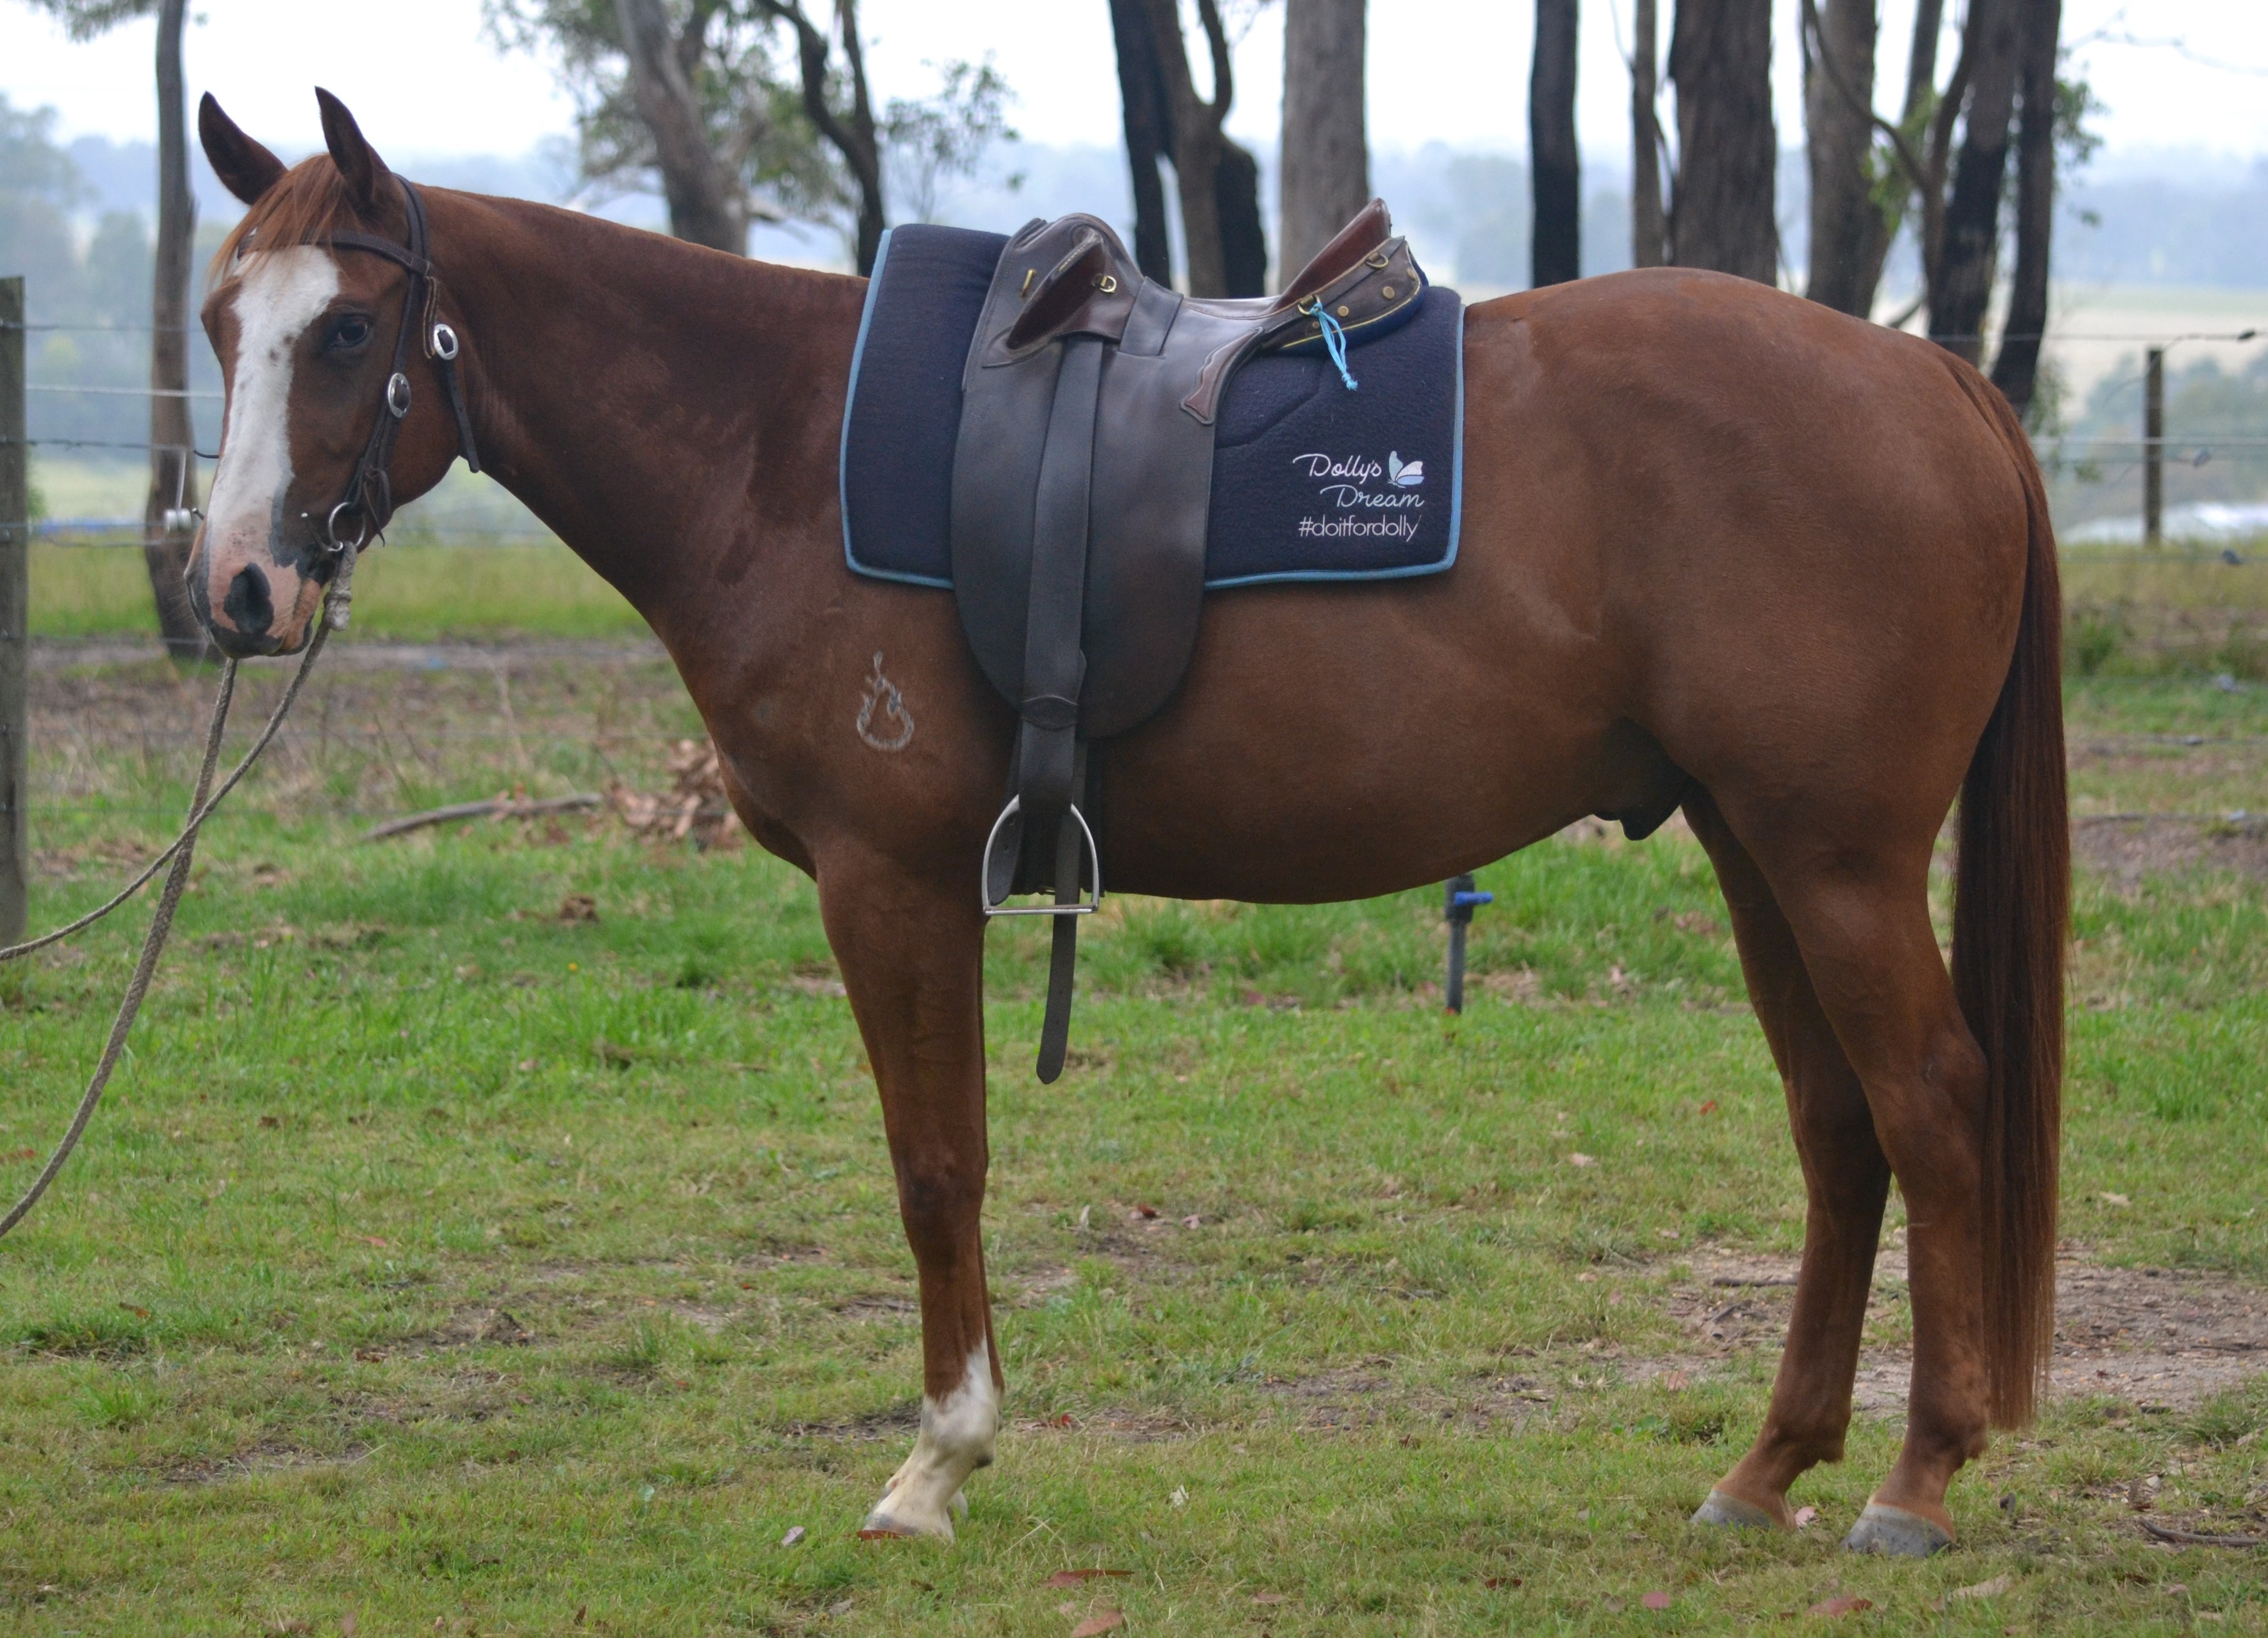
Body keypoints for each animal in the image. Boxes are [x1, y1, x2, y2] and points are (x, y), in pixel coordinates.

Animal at [185, 89, 2066, 1555]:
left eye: (344, 332)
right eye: (221, 328)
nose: (238, 589)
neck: (773, 448)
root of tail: (1935, 381)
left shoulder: (893, 883)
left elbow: (936, 1167)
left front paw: (936, 1464)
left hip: (1834, 861)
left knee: (1932, 1103)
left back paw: (1915, 1477)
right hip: (1757, 848)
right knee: (1840, 1129)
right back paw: (1765, 1468)